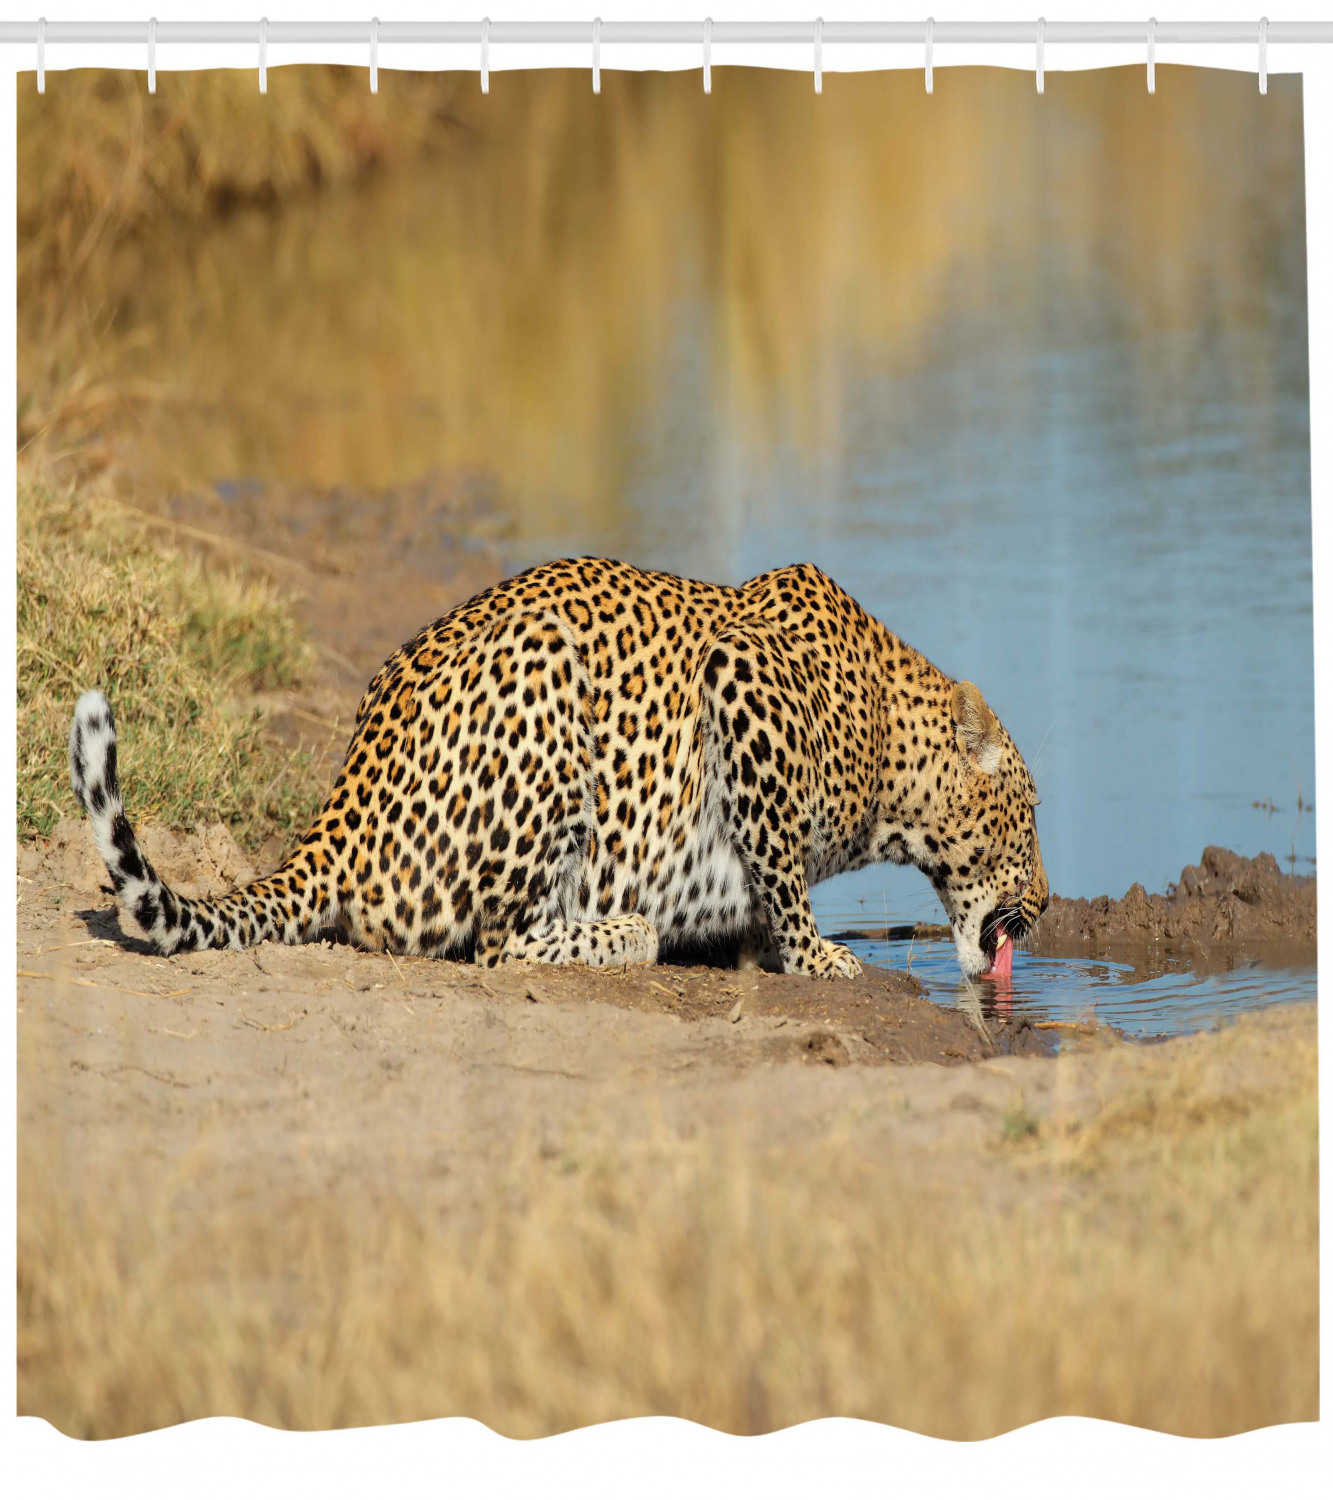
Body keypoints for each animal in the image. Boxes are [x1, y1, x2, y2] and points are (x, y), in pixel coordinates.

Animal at [69, 557, 1048, 981]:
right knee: (498, 944)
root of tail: (337, 819)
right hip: (547, 688)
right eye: (1031, 817)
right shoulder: (742, 679)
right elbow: (777, 861)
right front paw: (814, 954)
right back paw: (624, 933)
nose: (1042, 906)